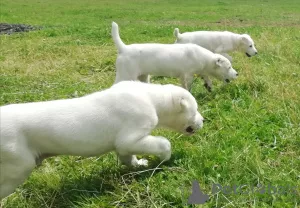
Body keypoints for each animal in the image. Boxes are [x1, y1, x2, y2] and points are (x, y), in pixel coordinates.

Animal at [0, 81, 204, 198]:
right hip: (19, 166)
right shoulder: (130, 138)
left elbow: (127, 157)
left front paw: (139, 165)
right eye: (194, 110)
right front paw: (164, 158)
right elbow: (163, 143)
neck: (151, 97)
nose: (203, 120)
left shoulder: (124, 146)